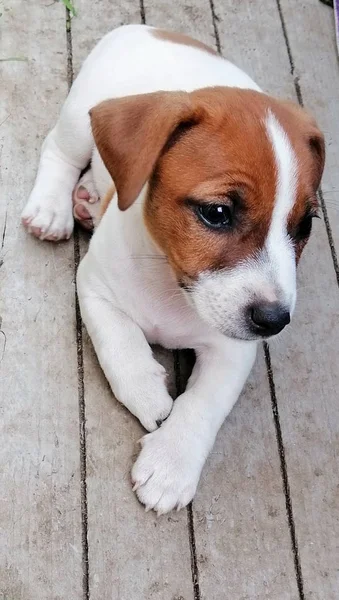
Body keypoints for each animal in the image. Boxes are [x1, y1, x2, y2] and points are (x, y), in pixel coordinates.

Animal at [21, 24, 326, 516]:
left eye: (304, 226)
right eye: (217, 212)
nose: (274, 321)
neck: (170, 283)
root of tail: (151, 28)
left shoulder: (234, 349)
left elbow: (203, 404)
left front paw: (170, 464)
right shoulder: (94, 288)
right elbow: (121, 345)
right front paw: (147, 392)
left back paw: (87, 199)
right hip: (78, 118)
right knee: (58, 150)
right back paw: (52, 209)